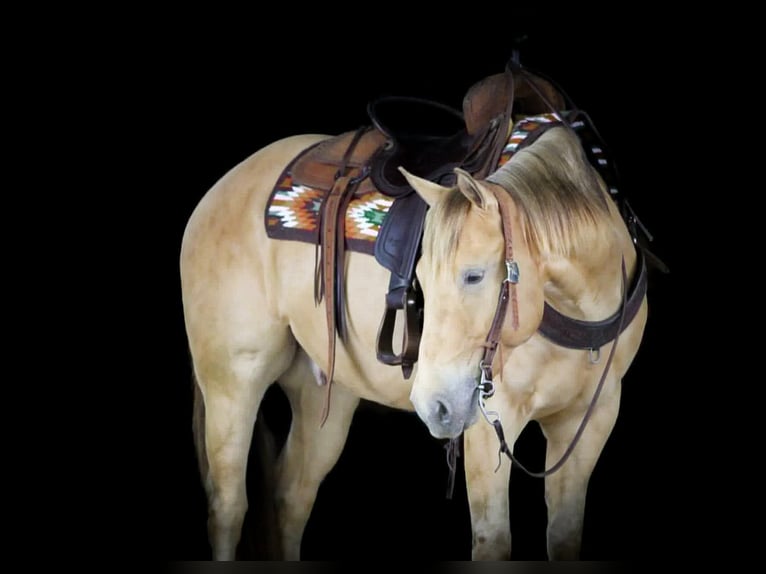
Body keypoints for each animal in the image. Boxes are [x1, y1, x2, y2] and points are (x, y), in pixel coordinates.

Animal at [179, 67, 653, 560]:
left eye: (474, 276)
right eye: (421, 275)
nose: (433, 406)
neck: (578, 303)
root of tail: (221, 189)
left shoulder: (590, 419)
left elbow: (563, 536)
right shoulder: (490, 421)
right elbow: (493, 541)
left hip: (324, 391)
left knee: (291, 499)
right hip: (232, 382)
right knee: (229, 506)